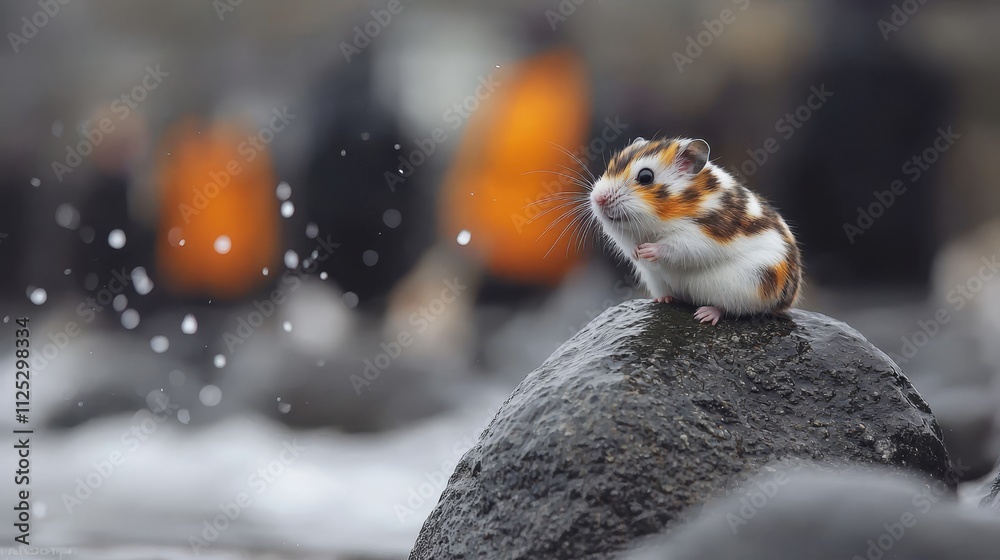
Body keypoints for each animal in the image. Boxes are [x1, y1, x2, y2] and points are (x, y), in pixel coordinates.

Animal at [589, 136, 801, 325]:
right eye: (609, 168)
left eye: (645, 177)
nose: (598, 198)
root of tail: (786, 301)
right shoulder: (626, 239)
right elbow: (631, 247)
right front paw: (637, 252)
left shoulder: (702, 234)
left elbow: (676, 246)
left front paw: (648, 250)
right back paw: (664, 299)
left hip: (749, 283)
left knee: (730, 308)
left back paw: (705, 315)